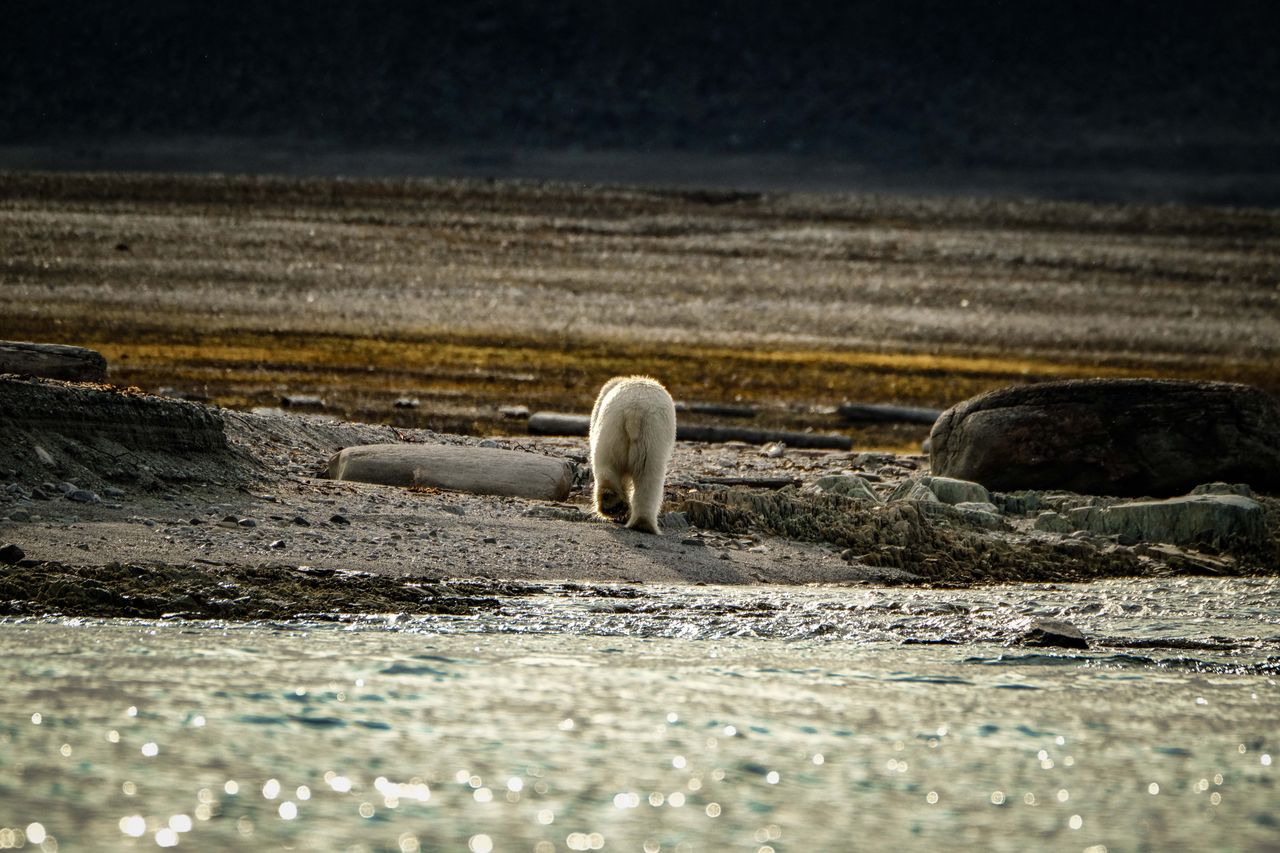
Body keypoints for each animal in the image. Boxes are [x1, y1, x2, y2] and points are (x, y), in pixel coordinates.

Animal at [589, 375, 677, 534]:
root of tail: (634, 411)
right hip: (651, 437)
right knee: (649, 477)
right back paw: (642, 523)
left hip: (612, 433)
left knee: (608, 468)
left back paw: (615, 506)